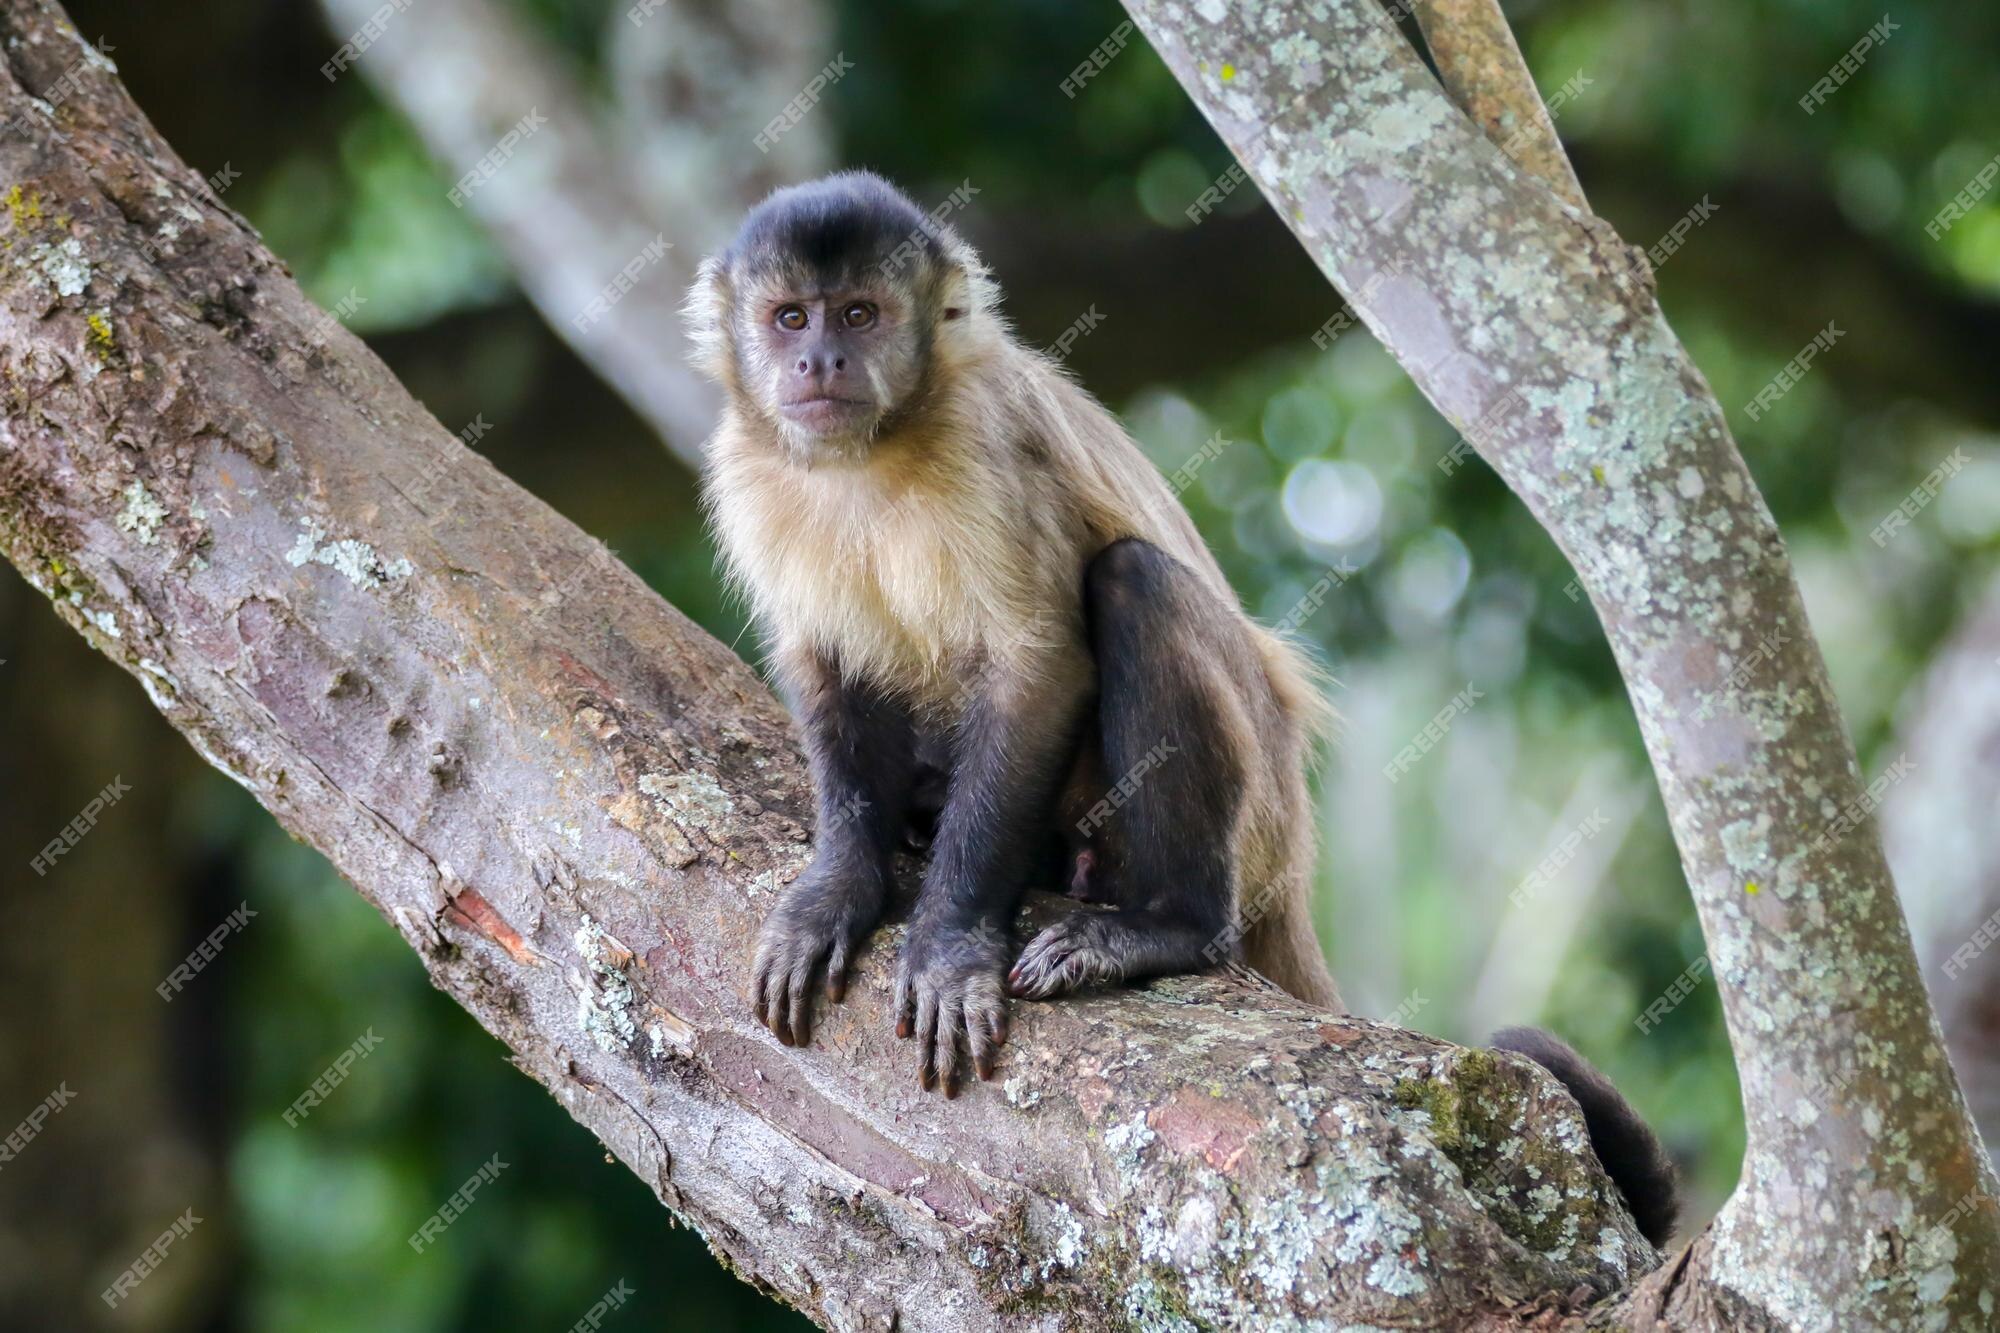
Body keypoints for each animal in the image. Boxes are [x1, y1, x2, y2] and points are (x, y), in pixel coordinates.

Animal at [680, 171, 1680, 1240]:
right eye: (791, 317)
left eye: (861, 315)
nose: (819, 359)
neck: (873, 451)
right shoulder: (746, 469)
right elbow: (821, 668)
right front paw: (837, 888)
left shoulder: (984, 442)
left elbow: (1041, 667)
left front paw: (950, 939)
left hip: (1259, 811)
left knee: (1134, 583)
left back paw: (1169, 926)